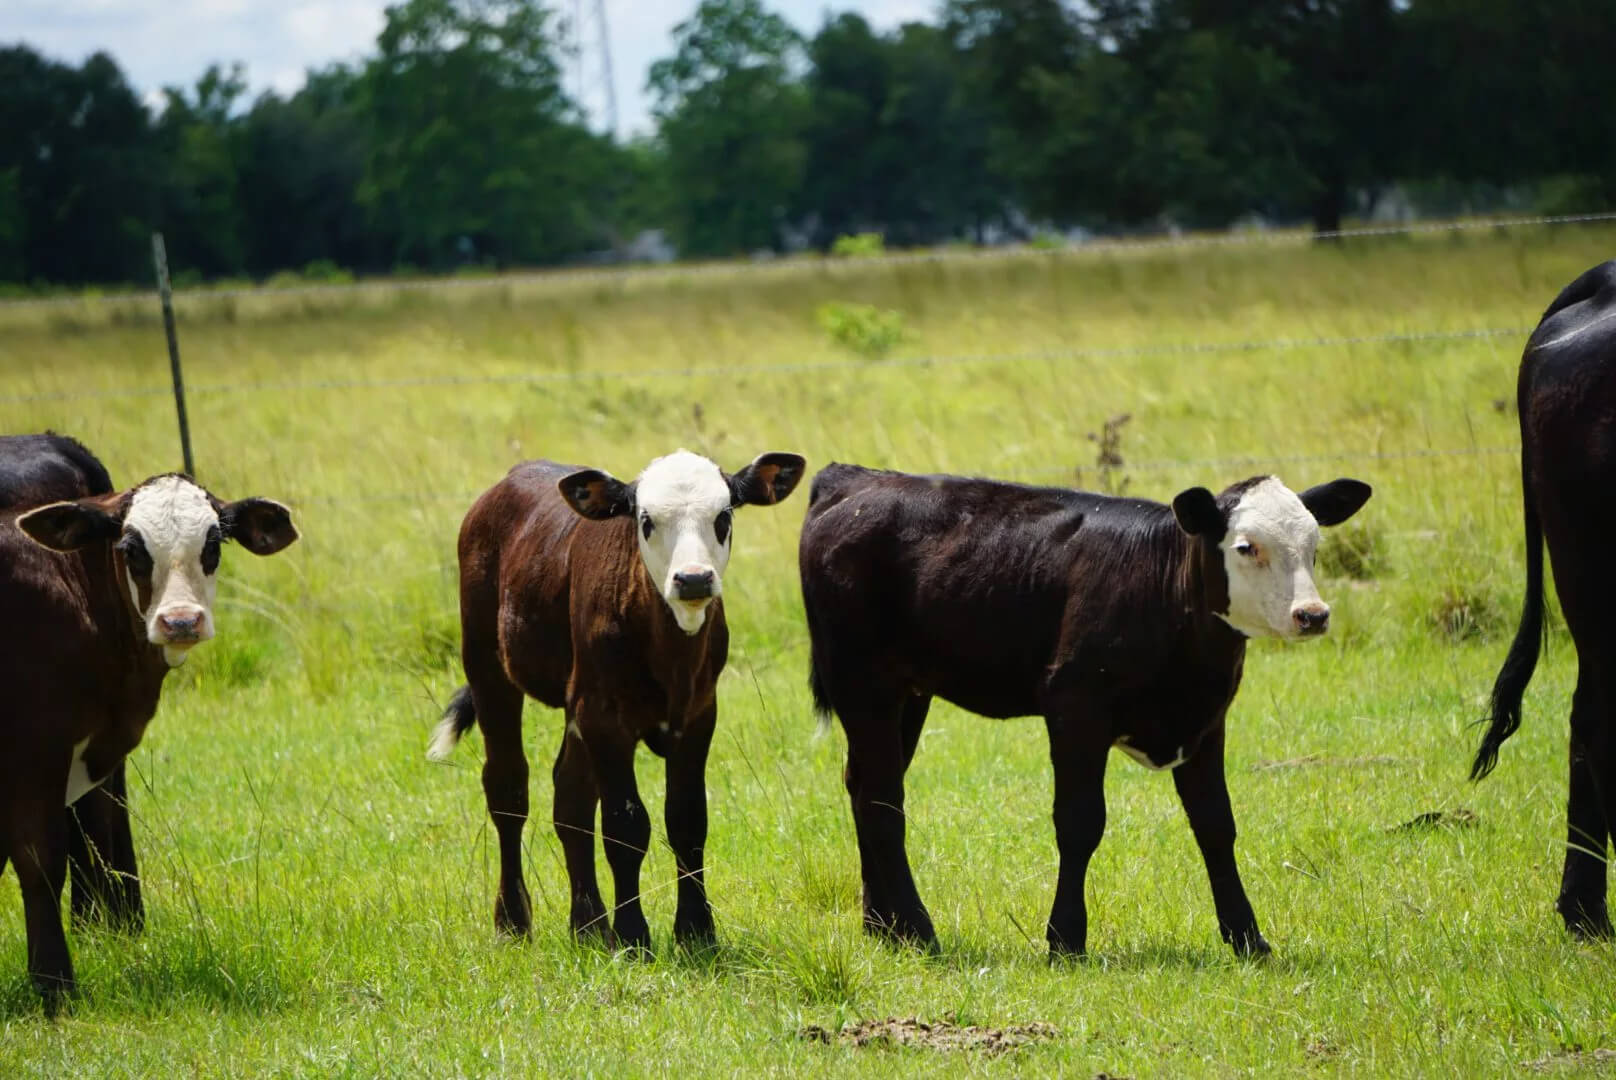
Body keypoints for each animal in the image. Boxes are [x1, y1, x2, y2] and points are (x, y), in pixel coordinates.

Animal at [429, 442, 808, 950]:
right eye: (645, 520)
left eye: (723, 515)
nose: (693, 579)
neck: (668, 651)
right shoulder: (606, 718)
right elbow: (625, 825)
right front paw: (633, 937)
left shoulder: (698, 714)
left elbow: (687, 819)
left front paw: (696, 932)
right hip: (488, 666)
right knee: (508, 789)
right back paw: (513, 921)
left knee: (569, 797)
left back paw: (588, 927)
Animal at [795, 468, 1363, 957]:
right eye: (1247, 547)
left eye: (1314, 546)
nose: (1312, 615)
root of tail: (852, 478)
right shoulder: (1075, 710)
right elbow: (1079, 822)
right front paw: (1066, 939)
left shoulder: (1205, 721)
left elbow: (1216, 824)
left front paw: (1247, 937)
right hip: (863, 683)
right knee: (883, 801)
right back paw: (916, 928)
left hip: (906, 695)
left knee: (865, 787)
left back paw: (882, 926)